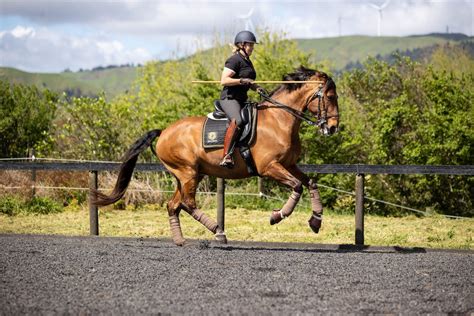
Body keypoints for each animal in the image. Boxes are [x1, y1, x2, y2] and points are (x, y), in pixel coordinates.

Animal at [92, 66, 338, 244]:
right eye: (329, 96)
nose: (333, 128)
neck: (278, 120)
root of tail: (163, 132)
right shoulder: (269, 167)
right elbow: (296, 186)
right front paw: (277, 216)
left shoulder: (290, 164)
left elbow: (310, 183)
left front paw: (316, 221)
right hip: (187, 172)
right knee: (188, 203)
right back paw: (218, 231)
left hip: (189, 175)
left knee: (174, 205)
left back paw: (181, 240)